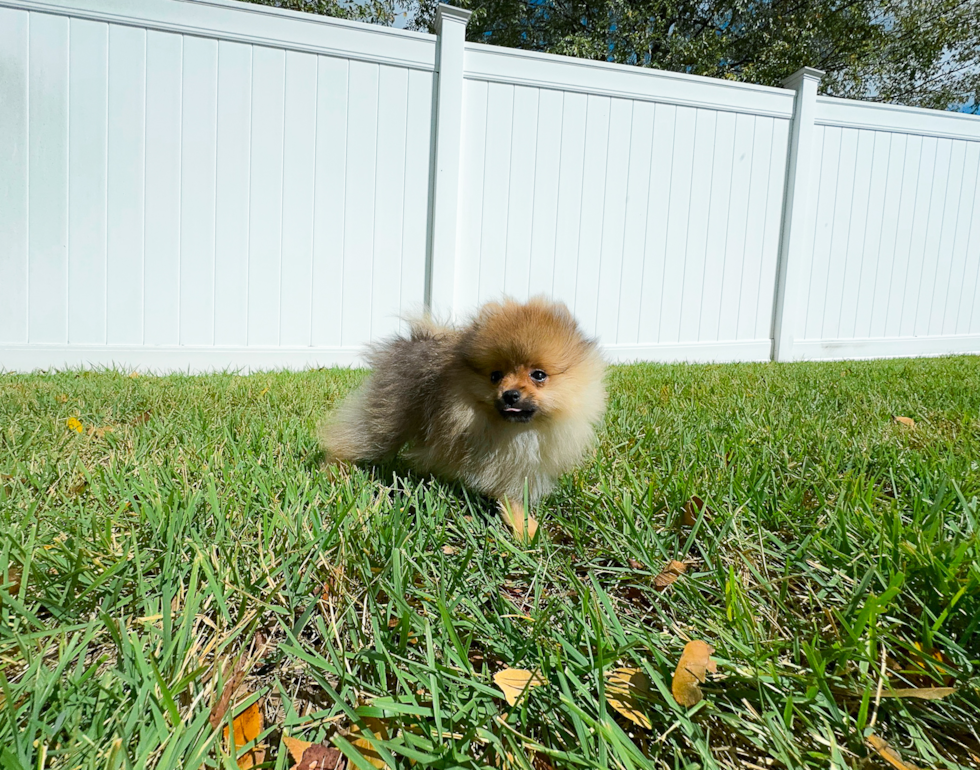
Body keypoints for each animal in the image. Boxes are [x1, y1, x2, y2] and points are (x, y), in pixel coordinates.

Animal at [322, 296, 608, 536]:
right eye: (495, 376)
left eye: (538, 374)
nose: (510, 395)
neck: (515, 430)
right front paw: (523, 527)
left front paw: (523, 525)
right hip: (386, 420)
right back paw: (334, 470)